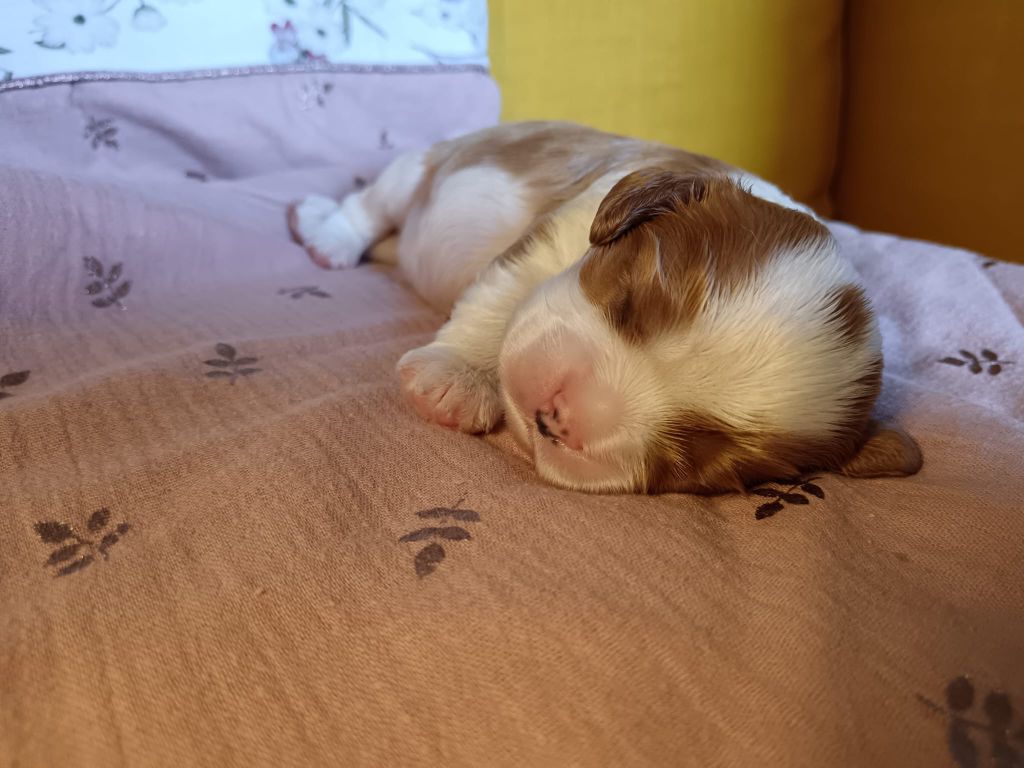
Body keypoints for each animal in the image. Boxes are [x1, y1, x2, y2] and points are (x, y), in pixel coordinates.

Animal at [287, 121, 922, 493]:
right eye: (630, 302)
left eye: (694, 460)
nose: (556, 418)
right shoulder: (559, 228)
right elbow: (502, 295)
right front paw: (456, 380)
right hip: (425, 166)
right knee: (368, 206)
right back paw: (325, 234)